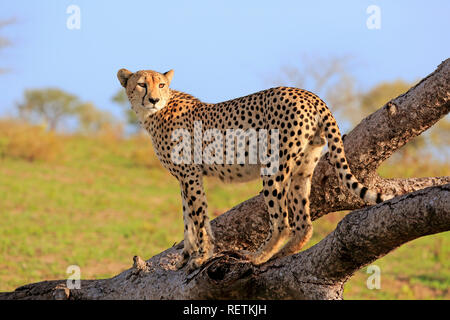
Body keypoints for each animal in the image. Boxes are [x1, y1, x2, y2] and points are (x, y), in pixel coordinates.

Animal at [118, 67, 392, 272]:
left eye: (161, 85)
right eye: (141, 84)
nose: (153, 99)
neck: (154, 114)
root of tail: (309, 94)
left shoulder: (190, 175)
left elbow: (198, 218)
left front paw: (201, 257)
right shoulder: (185, 178)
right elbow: (188, 220)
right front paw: (186, 257)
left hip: (273, 166)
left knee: (282, 221)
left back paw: (258, 257)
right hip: (302, 169)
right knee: (304, 223)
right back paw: (283, 253)